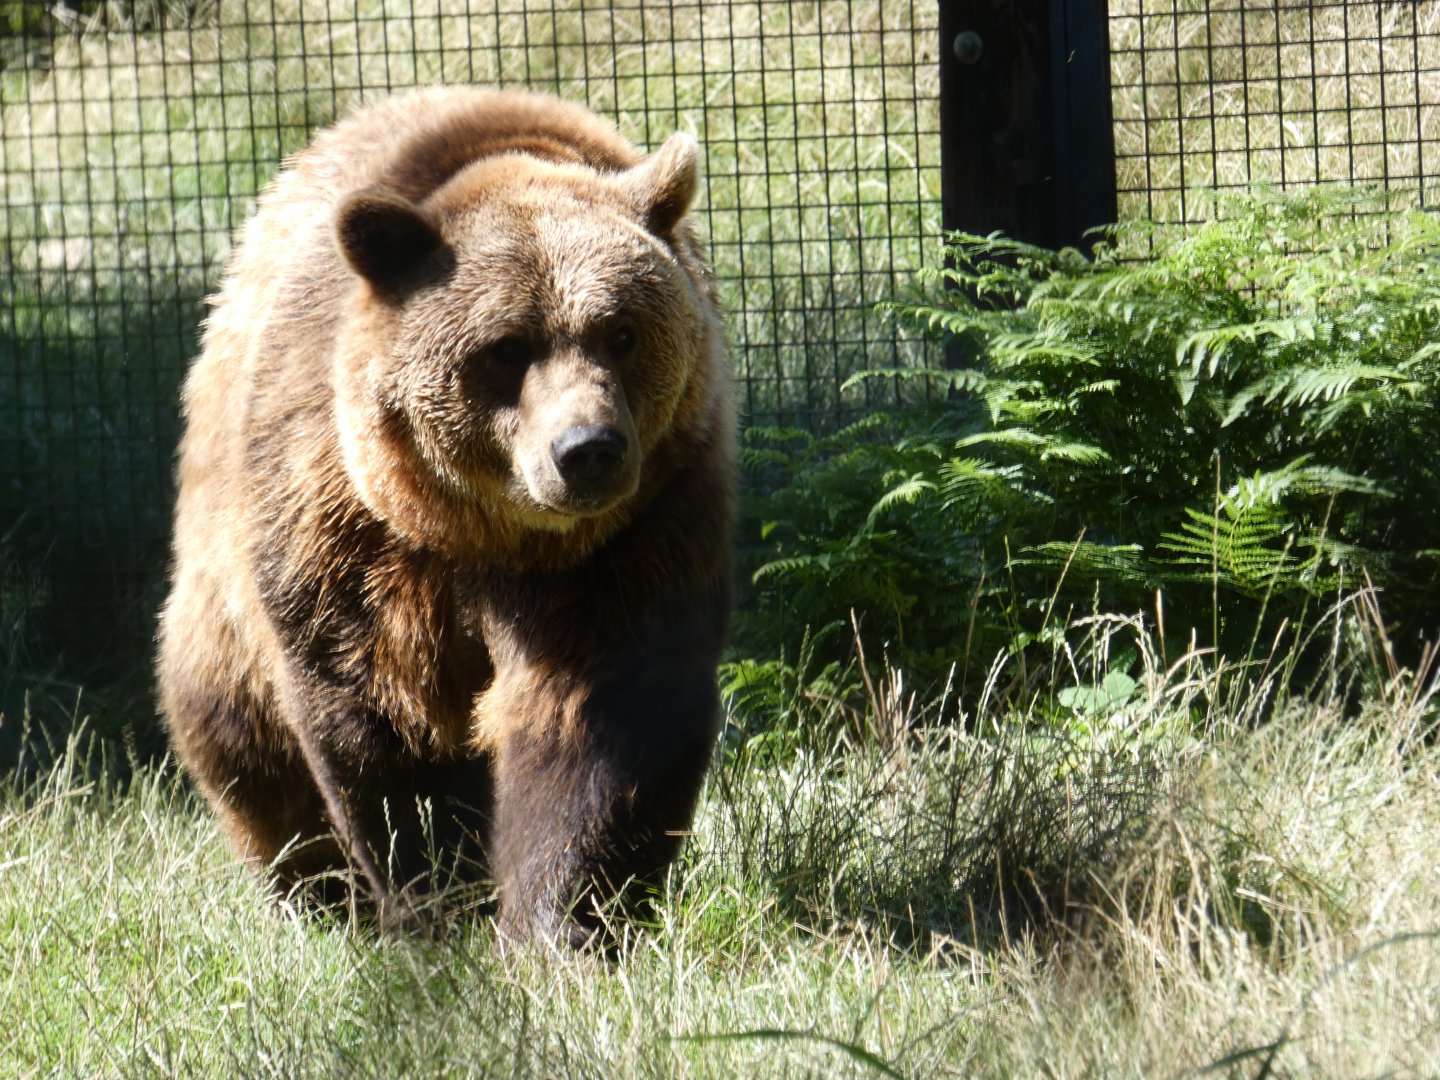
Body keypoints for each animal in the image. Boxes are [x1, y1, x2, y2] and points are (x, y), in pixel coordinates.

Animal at [156, 86, 735, 946]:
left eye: (622, 332)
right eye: (507, 347)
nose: (586, 449)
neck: (491, 535)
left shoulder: (633, 535)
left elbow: (601, 714)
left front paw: (568, 915)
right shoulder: (352, 537)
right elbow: (381, 718)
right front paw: (438, 894)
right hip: (221, 568)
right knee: (234, 732)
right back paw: (316, 892)